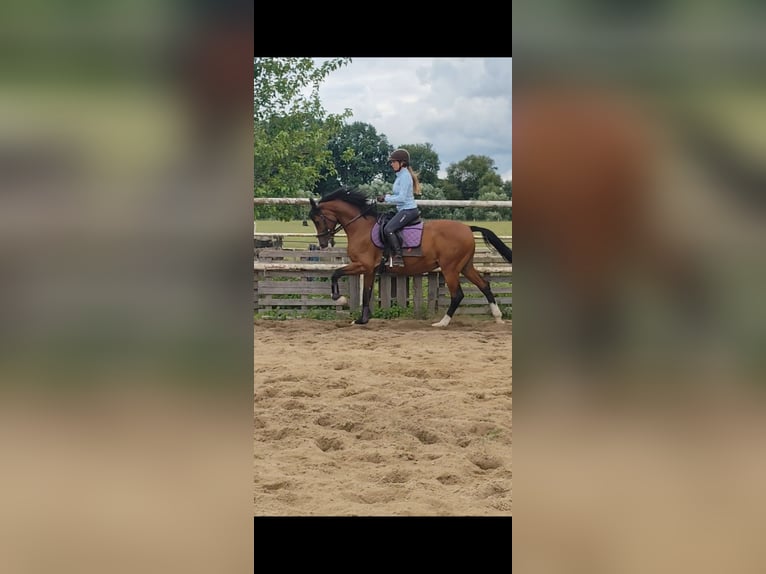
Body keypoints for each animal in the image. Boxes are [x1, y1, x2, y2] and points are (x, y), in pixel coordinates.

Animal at [308, 188, 513, 327]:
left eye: (317, 220)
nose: (323, 243)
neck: (361, 228)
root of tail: (467, 228)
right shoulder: (369, 269)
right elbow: (366, 293)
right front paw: (362, 319)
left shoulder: (362, 265)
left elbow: (336, 273)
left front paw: (339, 299)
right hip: (465, 266)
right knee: (484, 285)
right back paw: (498, 317)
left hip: (450, 269)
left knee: (458, 294)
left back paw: (442, 322)